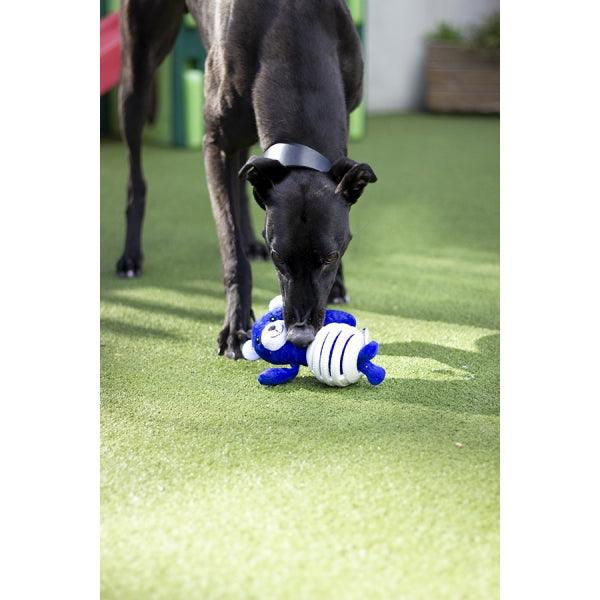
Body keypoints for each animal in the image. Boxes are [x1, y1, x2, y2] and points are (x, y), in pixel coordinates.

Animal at [116, 0, 377, 358]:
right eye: (278, 257)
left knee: (245, 171)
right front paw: (235, 327)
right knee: (136, 177)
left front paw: (338, 284)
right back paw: (130, 257)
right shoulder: (215, 145)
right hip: (138, 70)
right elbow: (230, 247)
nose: (300, 336)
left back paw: (250, 239)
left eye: (330, 258)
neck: (293, 27)